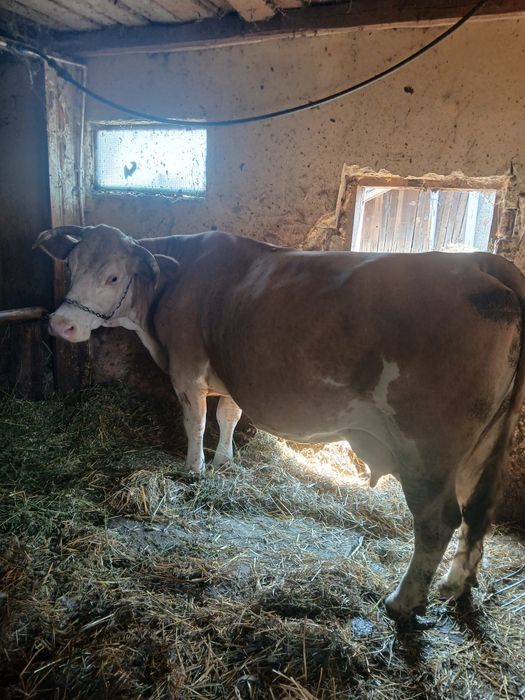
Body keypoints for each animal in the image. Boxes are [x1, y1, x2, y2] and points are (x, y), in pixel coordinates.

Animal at [34, 224, 525, 620]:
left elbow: (195, 420)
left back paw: (402, 601)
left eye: (114, 276)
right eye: (71, 266)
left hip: (426, 445)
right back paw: (454, 585)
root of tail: (481, 262)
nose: (60, 324)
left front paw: (193, 469)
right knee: (477, 510)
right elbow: (228, 416)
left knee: (438, 520)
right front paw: (225, 462)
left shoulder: (187, 367)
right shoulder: (229, 376)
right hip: (483, 442)